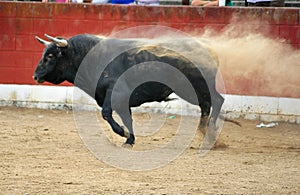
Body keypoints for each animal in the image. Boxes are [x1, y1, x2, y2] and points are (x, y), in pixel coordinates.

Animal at [33, 33, 237, 147]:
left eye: (50, 56)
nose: (35, 76)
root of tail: (208, 49)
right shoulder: (122, 100)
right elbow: (127, 118)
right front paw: (129, 139)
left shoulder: (115, 93)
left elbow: (106, 113)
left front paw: (123, 133)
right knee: (209, 103)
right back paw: (208, 132)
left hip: (196, 87)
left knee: (215, 101)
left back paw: (209, 131)